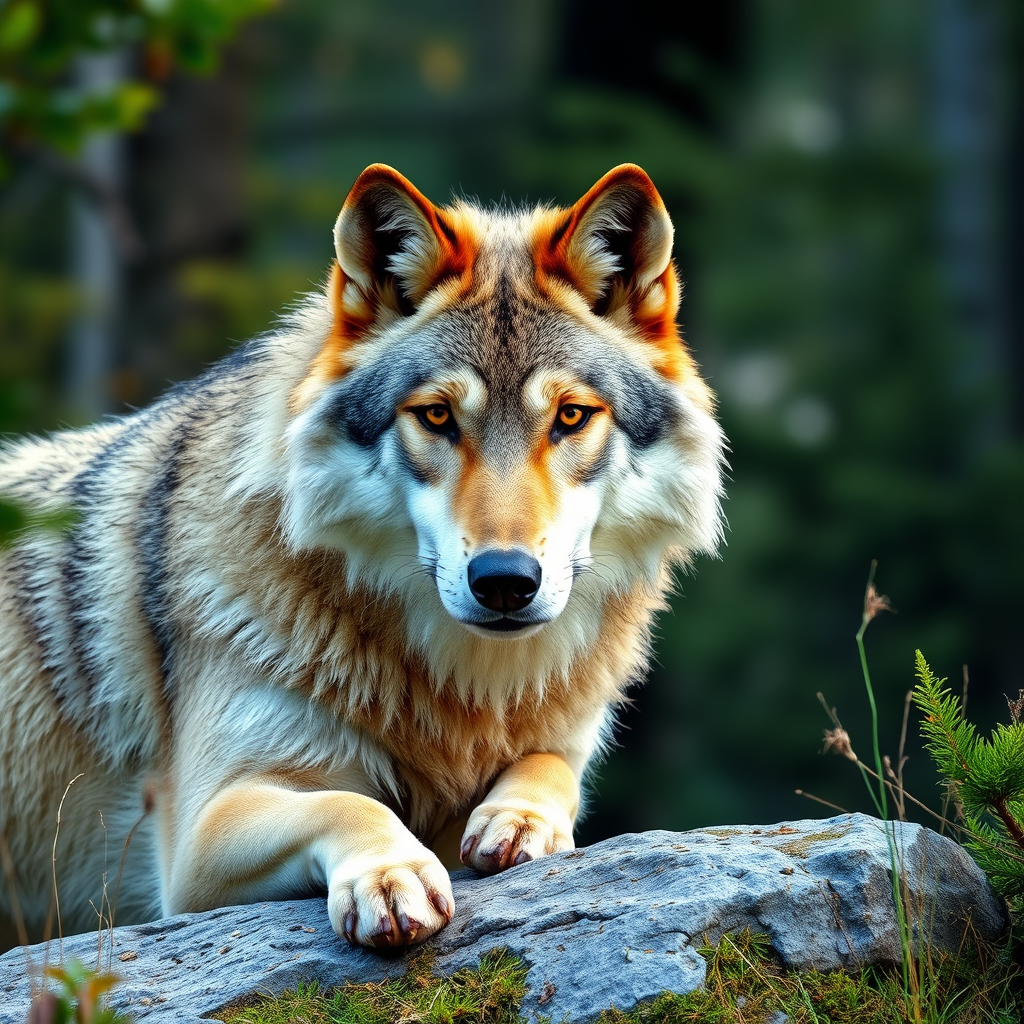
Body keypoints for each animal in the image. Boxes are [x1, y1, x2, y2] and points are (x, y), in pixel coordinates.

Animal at [0, 164, 725, 951]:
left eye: (570, 416)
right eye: (436, 416)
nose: (505, 581)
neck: (465, 694)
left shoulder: (559, 745)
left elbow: (547, 768)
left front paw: (520, 819)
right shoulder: (198, 837)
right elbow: (347, 804)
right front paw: (390, 876)